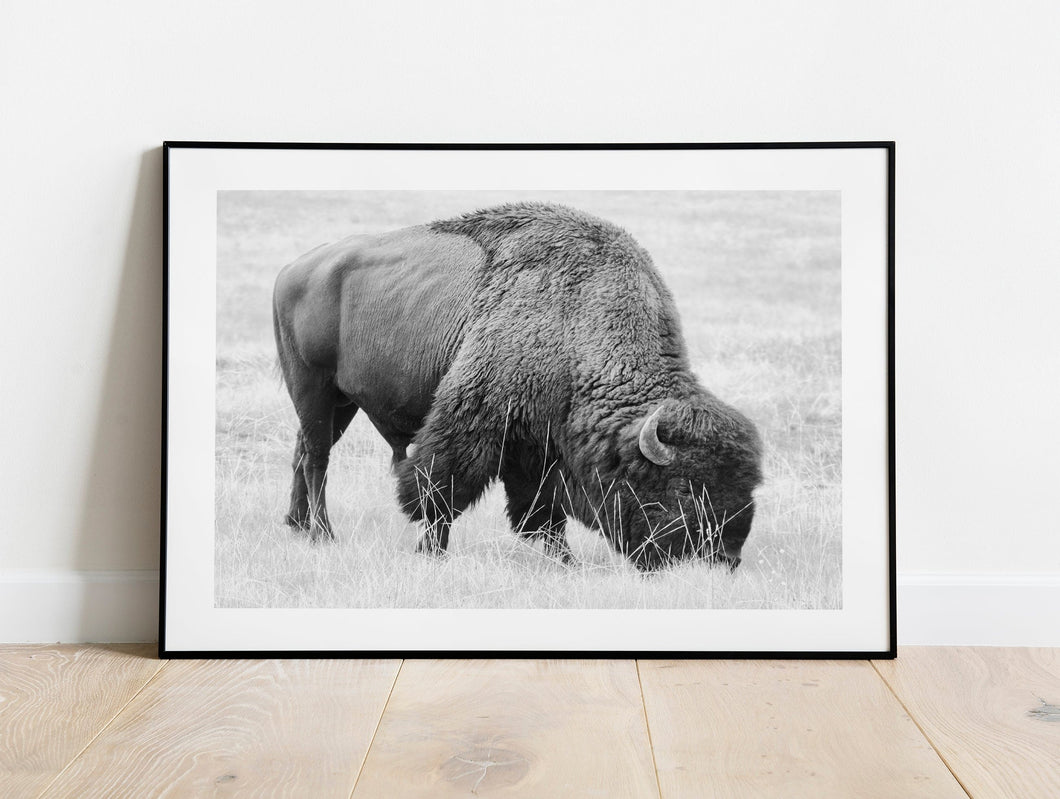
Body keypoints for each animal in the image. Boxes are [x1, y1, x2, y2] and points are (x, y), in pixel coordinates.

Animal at [273, 202, 762, 570]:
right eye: (683, 489)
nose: (726, 558)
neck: (577, 317)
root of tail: (292, 269)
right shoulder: (474, 423)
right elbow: (440, 490)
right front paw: (431, 553)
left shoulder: (537, 446)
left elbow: (543, 513)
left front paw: (565, 562)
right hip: (312, 388)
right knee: (317, 458)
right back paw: (323, 535)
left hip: (340, 403)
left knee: (301, 450)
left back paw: (295, 526)